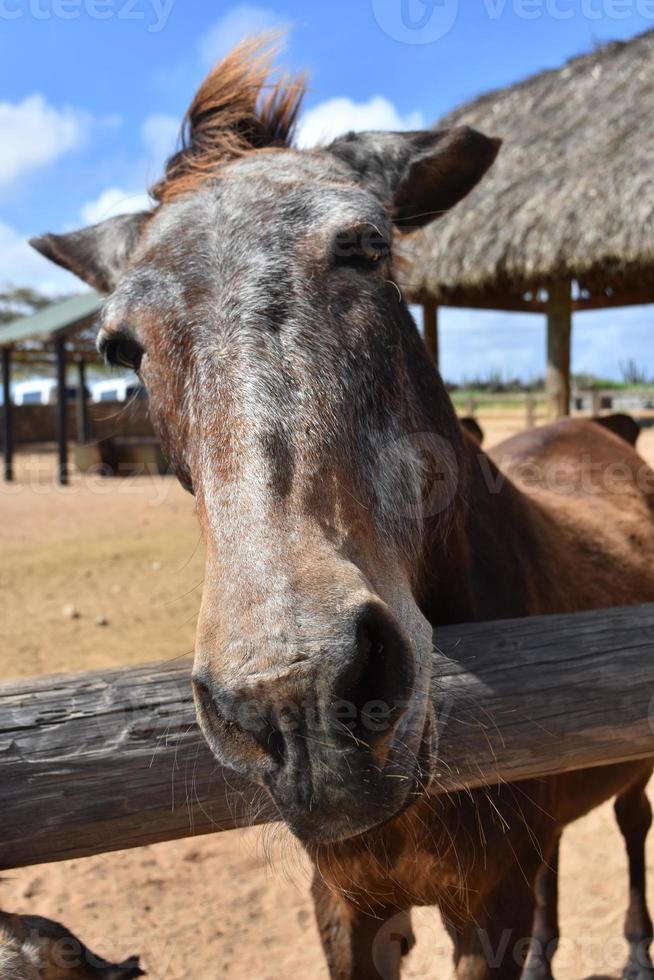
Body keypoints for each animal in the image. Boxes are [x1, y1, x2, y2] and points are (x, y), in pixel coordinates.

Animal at [32, 38, 654, 980]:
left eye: (367, 247)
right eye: (117, 347)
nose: (298, 702)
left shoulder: (487, 906)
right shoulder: (349, 906)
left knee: (631, 823)